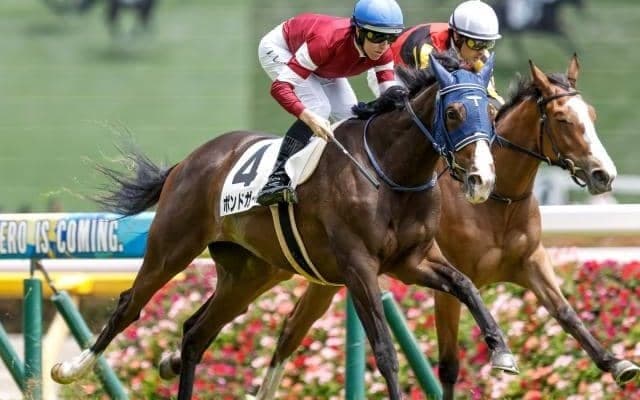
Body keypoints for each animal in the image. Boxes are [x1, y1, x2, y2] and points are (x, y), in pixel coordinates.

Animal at [50, 54, 518, 400]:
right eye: (454, 111)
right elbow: (385, 349)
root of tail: (190, 160)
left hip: (249, 273)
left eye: (491, 114)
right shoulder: (358, 266)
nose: (482, 180)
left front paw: (501, 352)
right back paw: (71, 369)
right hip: (172, 246)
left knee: (196, 334)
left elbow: (465, 285)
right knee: (130, 305)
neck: (390, 171)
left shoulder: (412, 261)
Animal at [234, 54, 638, 400]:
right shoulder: (444, 284)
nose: (604, 174)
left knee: (292, 328)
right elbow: (448, 366)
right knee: (288, 326)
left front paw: (616, 362)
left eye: (592, 115)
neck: (498, 202)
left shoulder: (531, 262)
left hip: (325, 275)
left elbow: (566, 313)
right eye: (562, 119)